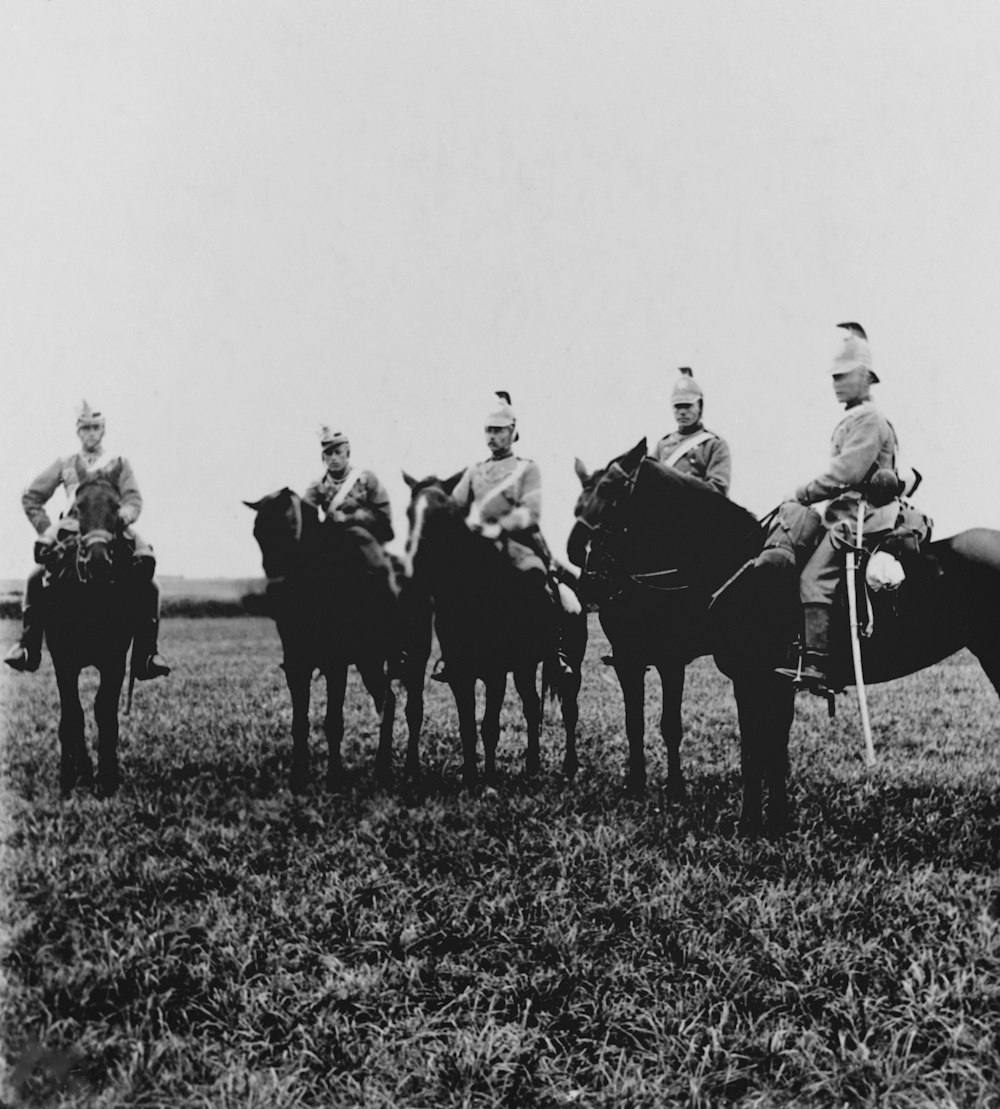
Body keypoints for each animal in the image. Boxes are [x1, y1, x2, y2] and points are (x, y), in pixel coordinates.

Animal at [246, 490, 434, 794]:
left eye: (291, 528)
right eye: (257, 532)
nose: (275, 590)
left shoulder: (336, 666)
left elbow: (333, 722)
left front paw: (334, 777)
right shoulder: (296, 667)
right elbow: (300, 722)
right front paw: (299, 776)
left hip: (416, 658)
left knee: (413, 710)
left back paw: (411, 769)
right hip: (370, 662)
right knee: (388, 702)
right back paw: (382, 769)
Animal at [401, 472, 585, 785]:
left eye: (443, 514)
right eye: (408, 513)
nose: (413, 562)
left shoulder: (495, 675)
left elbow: (489, 726)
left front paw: (487, 778)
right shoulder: (460, 675)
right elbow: (467, 726)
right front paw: (470, 776)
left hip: (570, 664)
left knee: (569, 708)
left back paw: (569, 767)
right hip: (525, 667)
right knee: (532, 706)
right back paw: (532, 765)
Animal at [576, 436, 1000, 833]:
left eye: (612, 497)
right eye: (579, 504)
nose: (589, 581)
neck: (738, 561)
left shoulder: (749, 678)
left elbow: (755, 748)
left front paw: (750, 822)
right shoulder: (764, 681)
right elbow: (771, 747)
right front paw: (776, 819)